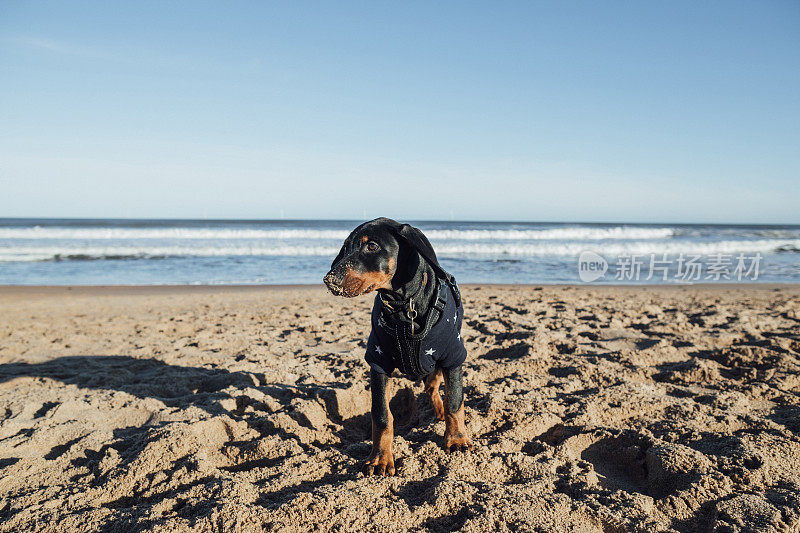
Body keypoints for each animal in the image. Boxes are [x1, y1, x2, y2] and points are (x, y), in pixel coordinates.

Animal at [324, 218, 472, 476]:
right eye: (345, 247)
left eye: (372, 246)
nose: (329, 279)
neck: (403, 306)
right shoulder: (378, 362)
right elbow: (382, 415)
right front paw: (380, 458)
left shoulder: (453, 356)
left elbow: (455, 401)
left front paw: (457, 440)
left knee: (433, 387)